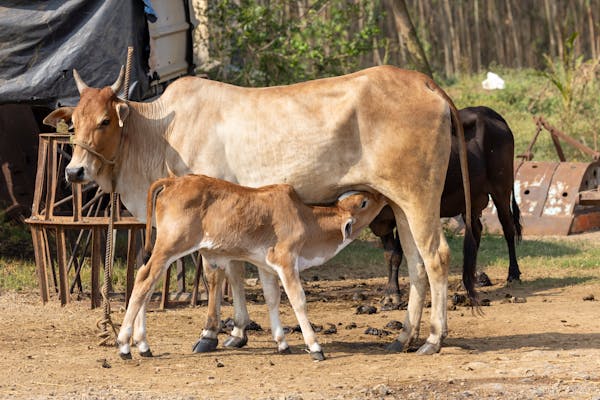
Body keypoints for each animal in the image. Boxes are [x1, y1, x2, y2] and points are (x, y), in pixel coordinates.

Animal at [117, 173, 386, 360]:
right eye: (363, 202)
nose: (381, 196)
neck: (306, 219)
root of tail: (172, 182)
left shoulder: (266, 266)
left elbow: (272, 299)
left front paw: (282, 343)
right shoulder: (286, 260)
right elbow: (298, 300)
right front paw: (315, 347)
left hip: (165, 250)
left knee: (147, 284)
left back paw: (143, 345)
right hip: (170, 246)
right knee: (144, 280)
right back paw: (124, 344)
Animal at [372, 105, 524, 306]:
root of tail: (489, 112)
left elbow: (397, 253)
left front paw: (393, 295)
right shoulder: (382, 219)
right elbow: (389, 254)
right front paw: (389, 292)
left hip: (501, 188)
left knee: (508, 228)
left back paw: (513, 274)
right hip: (471, 200)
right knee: (476, 231)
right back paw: (468, 279)